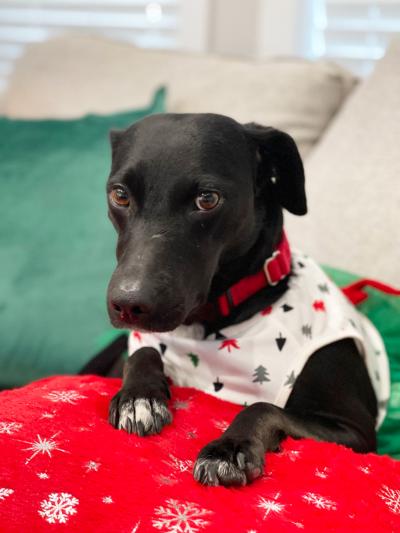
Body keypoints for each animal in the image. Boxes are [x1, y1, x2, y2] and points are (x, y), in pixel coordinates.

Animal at [105, 112, 378, 486]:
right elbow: (143, 351)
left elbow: (265, 408)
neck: (211, 321)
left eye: (207, 199)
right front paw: (138, 397)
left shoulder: (354, 430)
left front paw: (228, 448)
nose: (129, 305)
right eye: (119, 195)